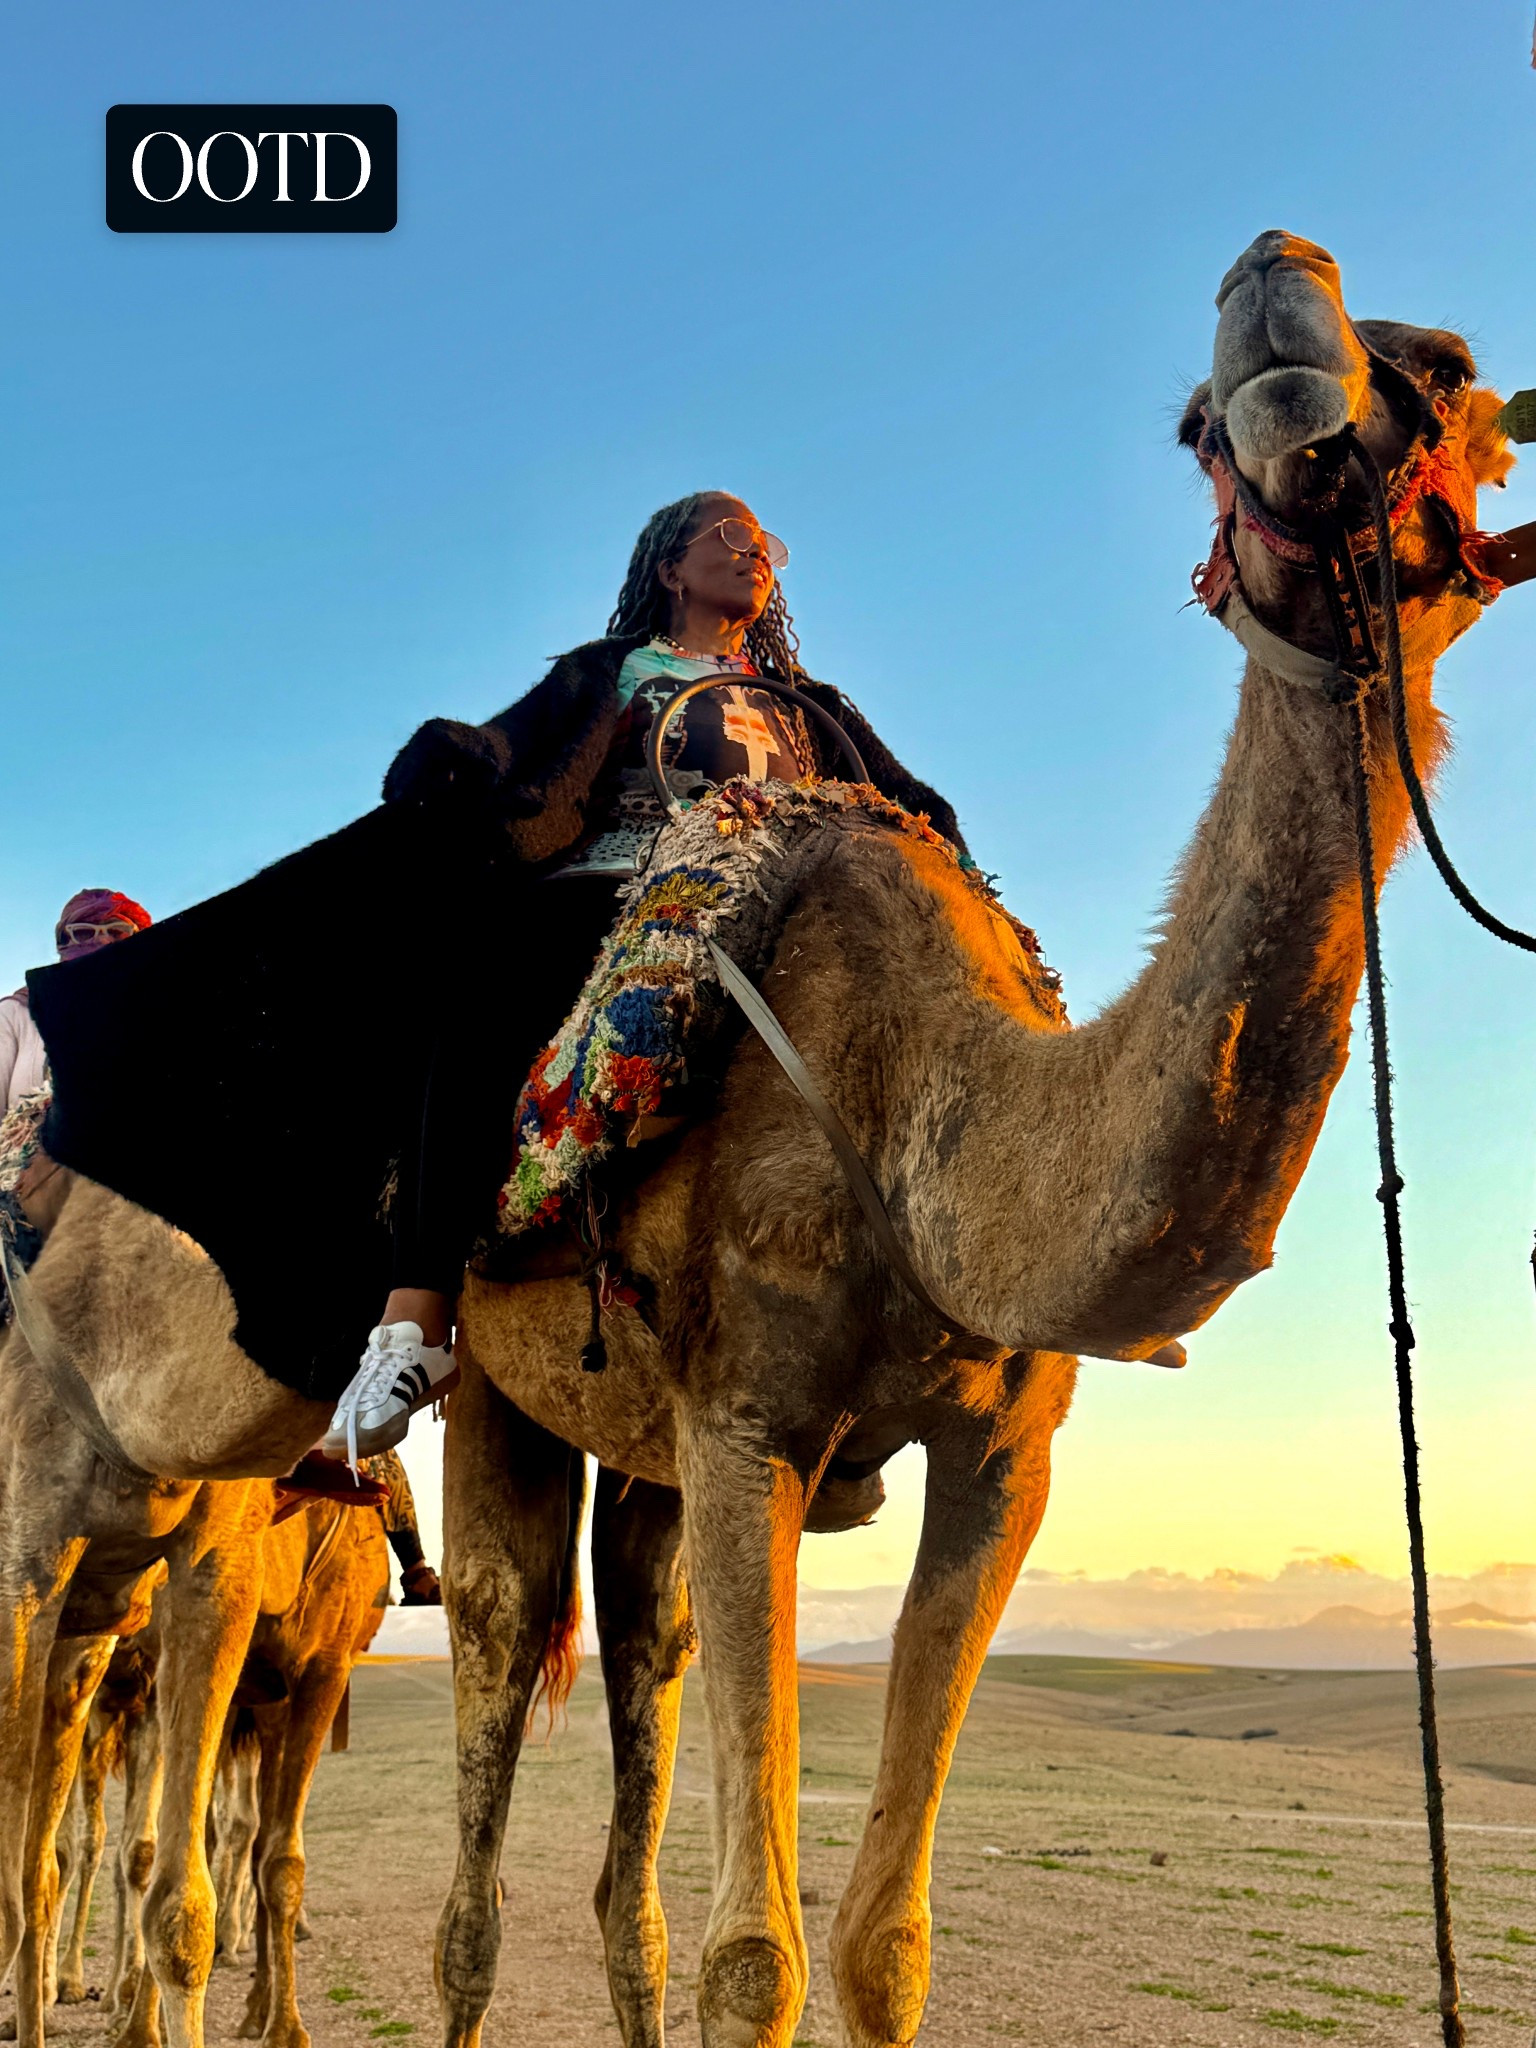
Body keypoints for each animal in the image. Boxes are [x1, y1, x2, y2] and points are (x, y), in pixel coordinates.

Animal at [0, 230, 1517, 2048]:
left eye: (1453, 370)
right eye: (1191, 424)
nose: (1282, 299)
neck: (929, 1122)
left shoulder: (1004, 1462)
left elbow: (881, 1942)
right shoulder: (747, 1427)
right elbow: (758, 1954)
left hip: (631, 1471)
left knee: (627, 1725)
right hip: (497, 1402)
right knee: (480, 1765)